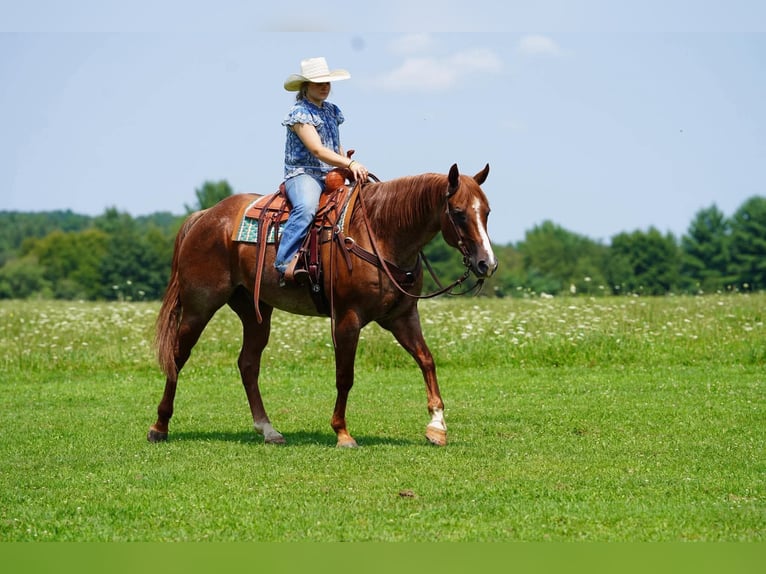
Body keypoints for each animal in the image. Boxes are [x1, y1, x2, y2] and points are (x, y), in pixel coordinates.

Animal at [148, 163, 497, 447]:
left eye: (487, 211)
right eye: (459, 212)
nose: (487, 263)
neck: (380, 233)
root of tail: (204, 217)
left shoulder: (402, 316)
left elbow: (426, 360)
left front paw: (437, 426)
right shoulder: (347, 318)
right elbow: (345, 375)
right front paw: (342, 432)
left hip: (255, 311)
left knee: (247, 364)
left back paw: (268, 430)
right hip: (199, 306)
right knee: (177, 357)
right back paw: (159, 427)